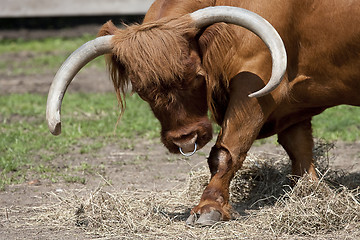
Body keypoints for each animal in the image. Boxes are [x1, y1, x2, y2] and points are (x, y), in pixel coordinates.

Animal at [46, 0, 360, 226]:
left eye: (197, 76)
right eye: (141, 90)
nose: (185, 138)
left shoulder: (257, 88)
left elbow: (226, 151)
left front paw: (209, 208)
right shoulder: (293, 106)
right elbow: (300, 149)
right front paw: (314, 193)